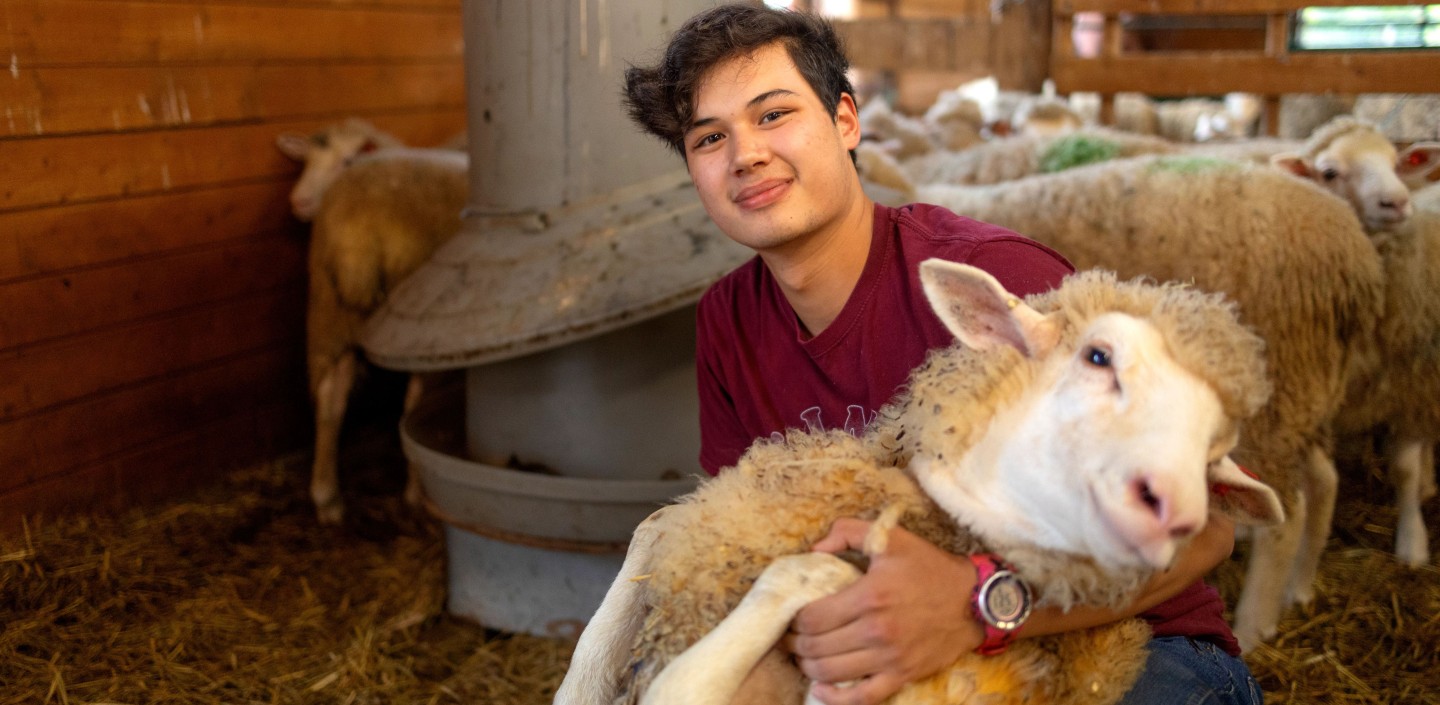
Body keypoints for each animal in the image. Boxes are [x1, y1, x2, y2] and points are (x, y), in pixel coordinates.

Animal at [302, 148, 469, 524]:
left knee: (330, 400)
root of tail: (356, 227)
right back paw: (415, 496)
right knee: (414, 408)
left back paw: (328, 501)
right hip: (423, 327)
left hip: (329, 316)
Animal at [904, 156, 1386, 651]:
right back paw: (1302, 587)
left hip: (1284, 397)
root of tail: (1355, 256)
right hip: (1311, 395)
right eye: (1099, 358)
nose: (1172, 510)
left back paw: (1253, 627)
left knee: (1287, 519)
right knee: (1324, 481)